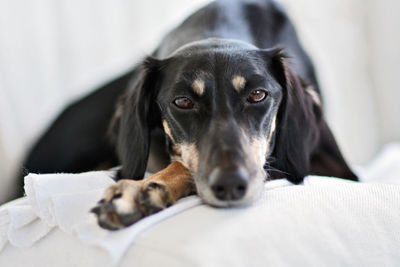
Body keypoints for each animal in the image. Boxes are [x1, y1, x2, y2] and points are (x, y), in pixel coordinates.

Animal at [20, 0, 358, 230]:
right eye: (182, 102)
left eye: (258, 95)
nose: (231, 185)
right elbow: (181, 164)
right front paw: (144, 188)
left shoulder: (335, 169)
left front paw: (144, 191)